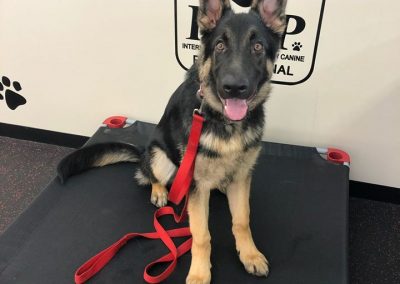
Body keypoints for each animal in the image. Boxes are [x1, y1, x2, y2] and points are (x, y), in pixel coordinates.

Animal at [57, 1, 288, 282]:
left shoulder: (243, 176)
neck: (223, 121)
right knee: (150, 175)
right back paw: (159, 192)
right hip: (161, 158)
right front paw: (199, 273)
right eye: (220, 46)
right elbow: (201, 235)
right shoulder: (196, 185)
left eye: (257, 47)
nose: (233, 88)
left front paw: (250, 255)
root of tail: (143, 152)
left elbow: (242, 220)